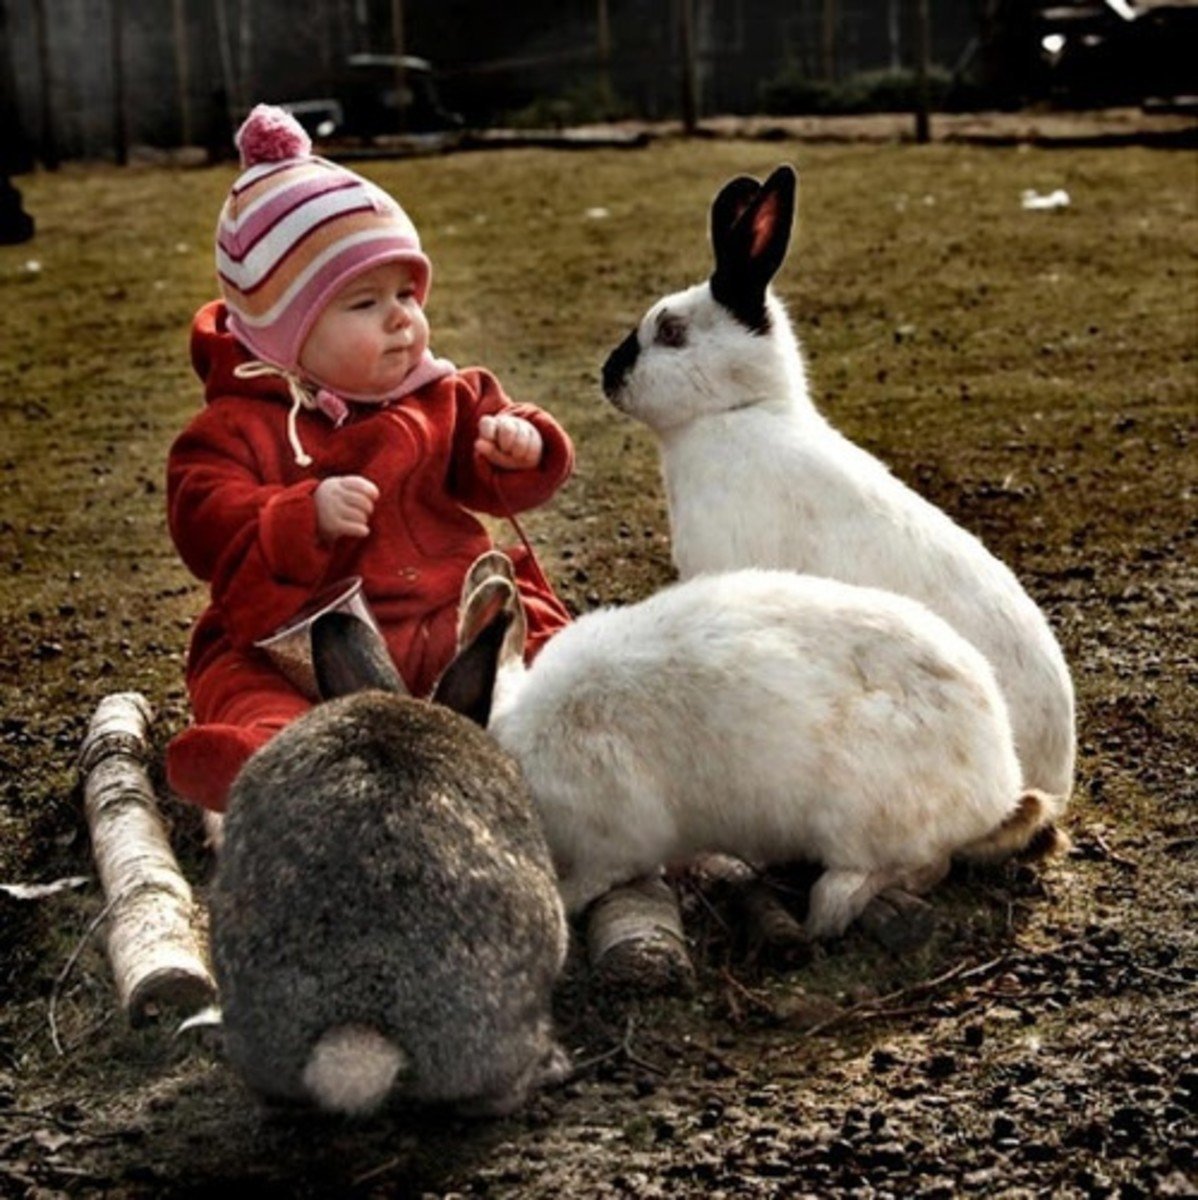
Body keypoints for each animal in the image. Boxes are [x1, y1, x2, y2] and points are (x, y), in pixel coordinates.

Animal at [448, 553, 1068, 938]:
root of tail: (998, 782)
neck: (515, 754)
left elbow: (590, 881)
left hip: (862, 819)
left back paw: (829, 907)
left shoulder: (613, 843)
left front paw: (565, 898)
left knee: (924, 866)